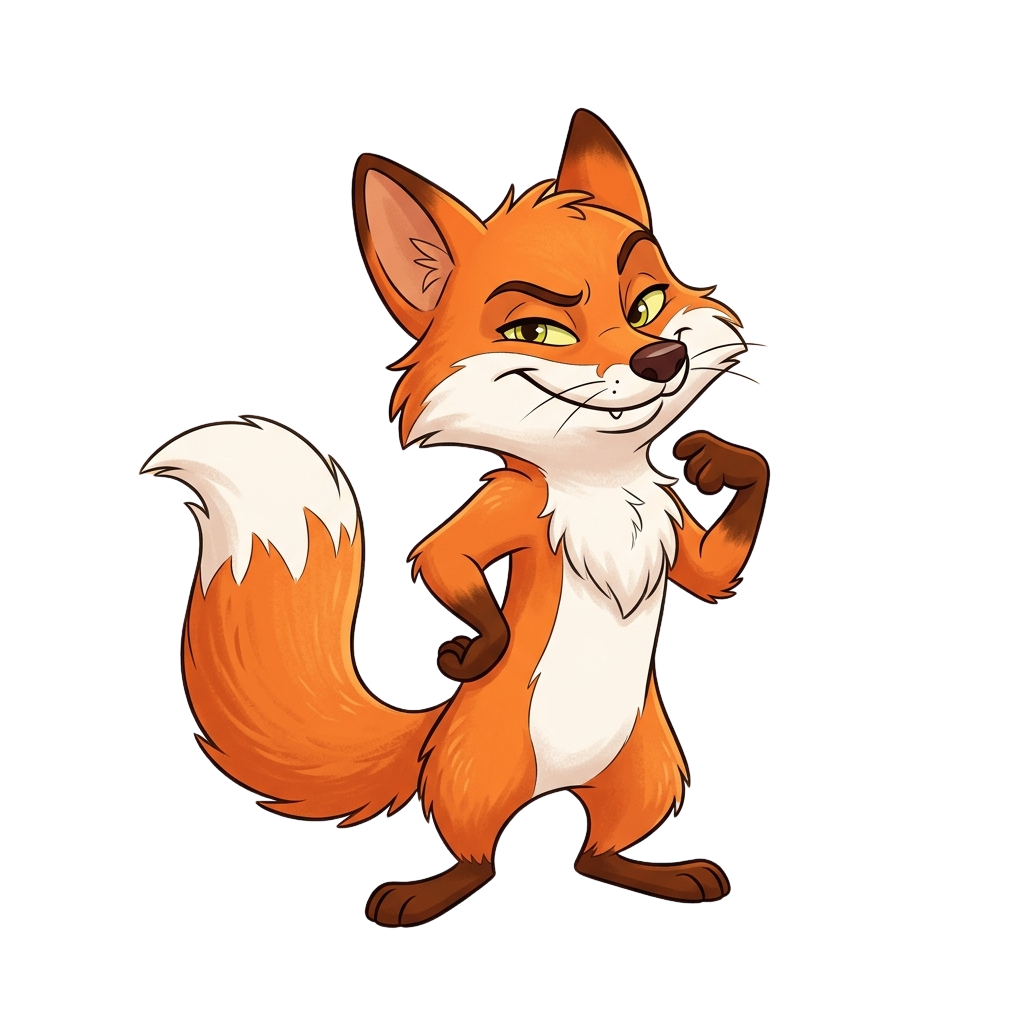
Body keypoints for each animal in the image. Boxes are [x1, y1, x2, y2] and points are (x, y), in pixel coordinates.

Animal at [142, 109, 768, 927]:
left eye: (645, 306)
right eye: (539, 334)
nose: (661, 360)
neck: (602, 484)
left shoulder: (674, 530)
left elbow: (721, 553)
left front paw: (721, 459)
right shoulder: (511, 509)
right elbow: (445, 560)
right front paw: (476, 653)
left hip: (646, 770)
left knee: (594, 854)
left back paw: (657, 874)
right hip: (478, 777)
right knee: (479, 857)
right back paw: (430, 892)